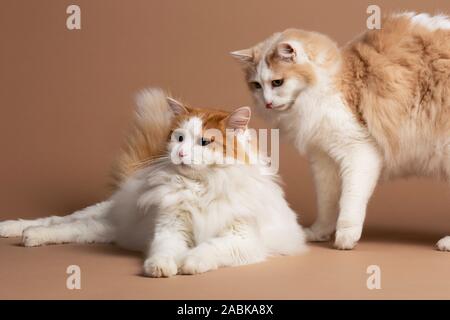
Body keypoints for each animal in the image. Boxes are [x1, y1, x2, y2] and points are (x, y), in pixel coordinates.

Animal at [0, 88, 306, 278]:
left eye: (204, 142)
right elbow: (166, 249)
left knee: (71, 230)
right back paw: (15, 229)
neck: (201, 187)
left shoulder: (241, 238)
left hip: (102, 230)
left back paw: (29, 236)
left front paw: (190, 263)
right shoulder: (170, 227)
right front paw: (161, 266)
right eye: (179, 138)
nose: (180, 153)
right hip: (98, 213)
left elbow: (209, 248)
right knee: (57, 220)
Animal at [232, 12, 450, 251]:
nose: (267, 103)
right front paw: (319, 232)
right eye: (257, 86)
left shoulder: (359, 152)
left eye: (277, 82)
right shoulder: (323, 160)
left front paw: (345, 237)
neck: (331, 84)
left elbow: (350, 201)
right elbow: (326, 203)